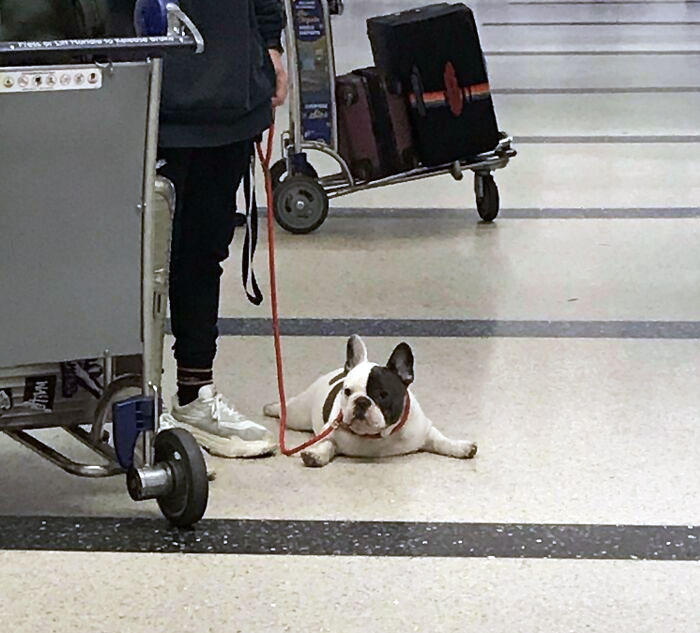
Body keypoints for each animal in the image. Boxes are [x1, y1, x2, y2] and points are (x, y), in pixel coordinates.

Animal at [266, 336, 478, 464]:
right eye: (347, 391)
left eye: (383, 395)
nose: (362, 401)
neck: (376, 437)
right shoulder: (330, 433)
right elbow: (326, 444)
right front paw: (315, 455)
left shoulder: (425, 431)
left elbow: (441, 440)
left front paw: (461, 447)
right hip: (298, 415)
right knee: (287, 409)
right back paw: (272, 407)